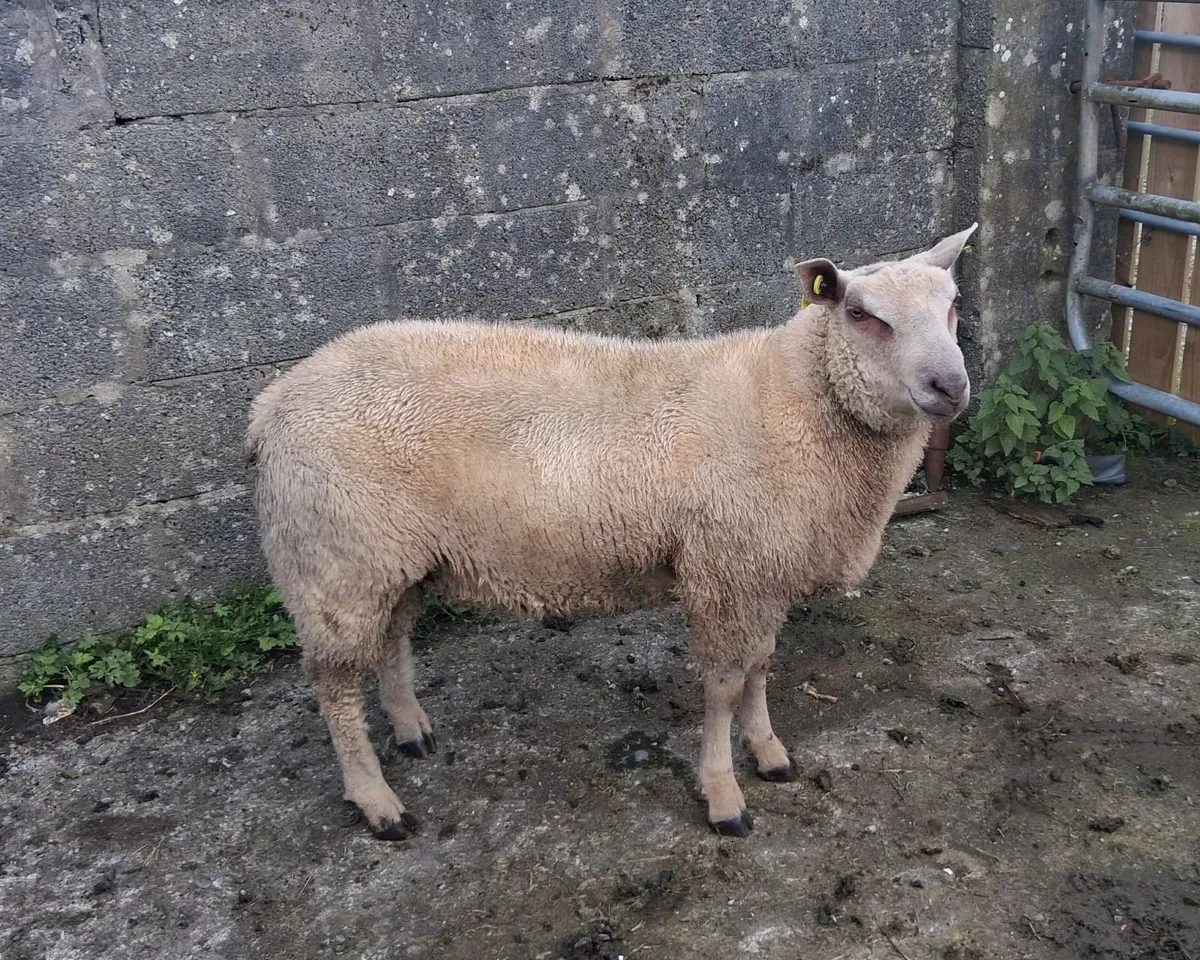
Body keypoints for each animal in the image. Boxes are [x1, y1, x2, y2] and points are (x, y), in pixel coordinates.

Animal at [244, 223, 976, 841]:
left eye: (953, 305)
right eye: (862, 315)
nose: (951, 385)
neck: (794, 400)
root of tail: (274, 401)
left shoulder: (761, 571)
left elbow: (760, 668)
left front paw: (768, 751)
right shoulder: (726, 571)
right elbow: (723, 685)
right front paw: (722, 794)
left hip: (389, 555)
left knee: (393, 635)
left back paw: (410, 729)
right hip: (332, 558)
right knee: (336, 686)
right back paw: (377, 800)